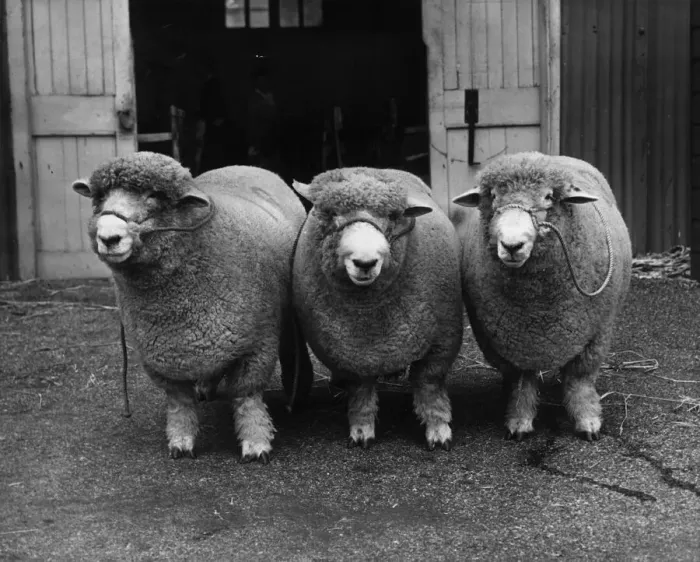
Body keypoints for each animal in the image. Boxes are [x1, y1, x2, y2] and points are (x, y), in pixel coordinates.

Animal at [72, 152, 313, 463]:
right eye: (100, 197)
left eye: (154, 196)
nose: (109, 238)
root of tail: (243, 165)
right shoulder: (159, 356)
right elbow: (180, 403)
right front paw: (181, 441)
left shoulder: (258, 344)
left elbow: (247, 397)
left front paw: (256, 442)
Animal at [291, 167, 464, 450]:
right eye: (330, 213)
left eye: (393, 216)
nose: (365, 262)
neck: (370, 310)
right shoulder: (350, 353)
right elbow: (361, 391)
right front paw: (362, 430)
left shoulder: (441, 342)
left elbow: (429, 385)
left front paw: (438, 430)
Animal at [452, 151, 632, 441]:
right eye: (493, 196)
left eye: (548, 197)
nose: (512, 246)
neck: (537, 307)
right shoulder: (506, 341)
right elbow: (521, 382)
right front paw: (519, 420)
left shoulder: (596, 333)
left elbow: (579, 379)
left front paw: (588, 420)